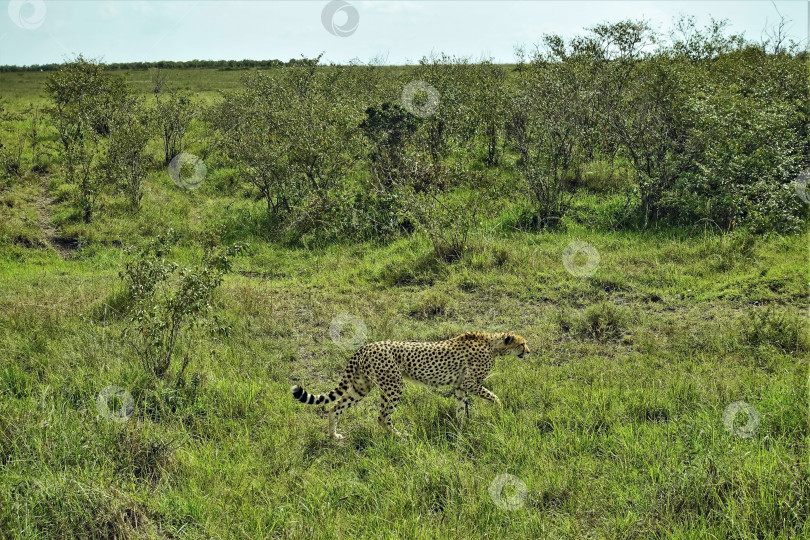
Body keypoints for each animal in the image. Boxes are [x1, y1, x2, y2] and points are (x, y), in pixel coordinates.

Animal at [290, 332, 532, 440]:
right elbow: (493, 396)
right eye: (522, 344)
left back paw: (334, 435)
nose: (529, 351)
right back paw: (400, 436)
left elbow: (461, 408)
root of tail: (366, 346)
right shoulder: (470, 383)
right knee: (382, 416)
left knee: (335, 406)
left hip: (361, 387)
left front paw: (462, 428)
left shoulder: (460, 386)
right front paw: (499, 410)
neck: (493, 345)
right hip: (393, 385)